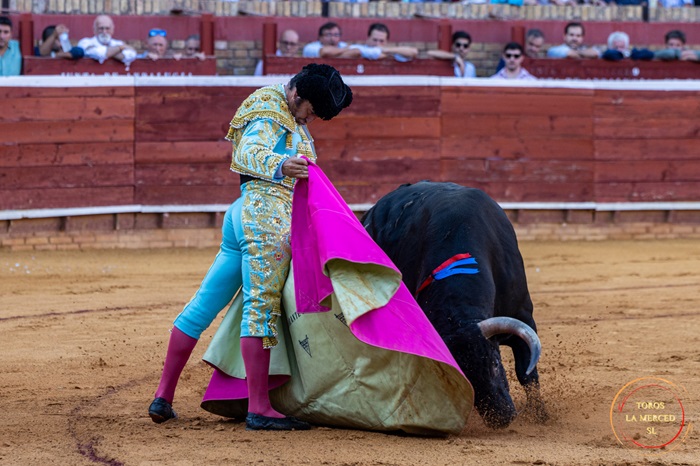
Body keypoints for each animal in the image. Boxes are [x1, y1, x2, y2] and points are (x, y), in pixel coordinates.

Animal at [364, 180, 548, 428]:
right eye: (461, 379)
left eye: (495, 363)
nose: (502, 418)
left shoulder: (522, 316)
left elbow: (527, 372)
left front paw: (542, 417)